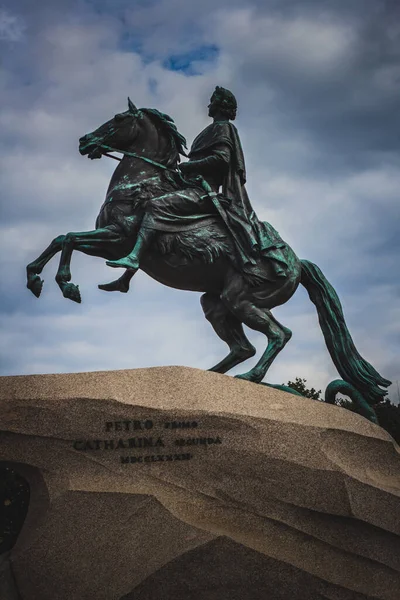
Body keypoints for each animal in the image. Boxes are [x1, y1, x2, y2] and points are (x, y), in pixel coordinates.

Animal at [25, 99, 390, 412]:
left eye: (117, 118)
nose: (84, 141)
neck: (142, 180)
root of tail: (297, 263)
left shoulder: (118, 236)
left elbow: (71, 239)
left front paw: (67, 284)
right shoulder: (108, 242)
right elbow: (62, 238)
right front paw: (36, 279)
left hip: (242, 300)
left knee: (278, 335)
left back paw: (249, 377)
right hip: (216, 303)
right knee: (244, 347)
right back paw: (211, 376)